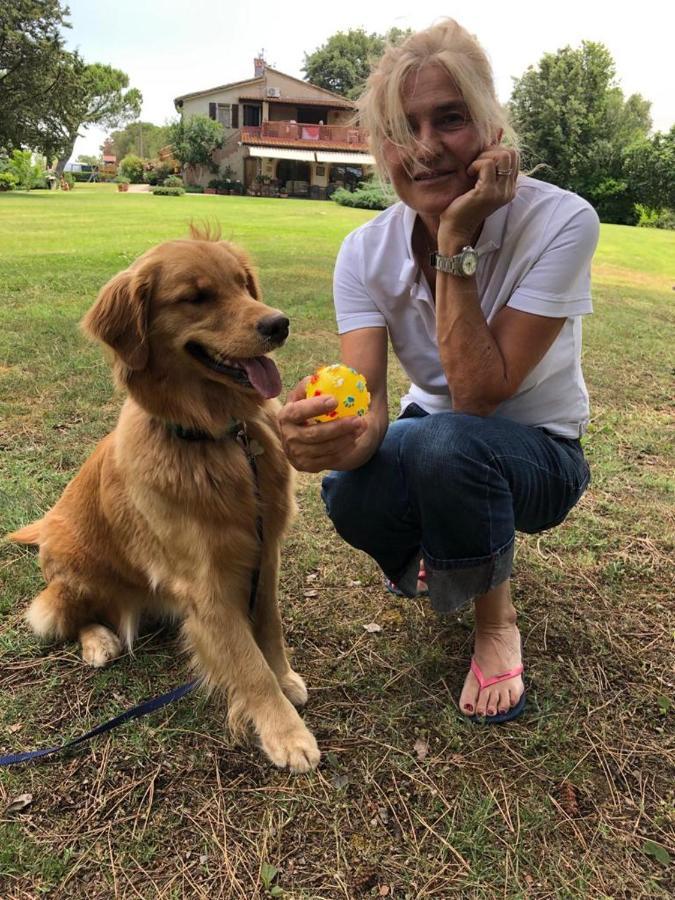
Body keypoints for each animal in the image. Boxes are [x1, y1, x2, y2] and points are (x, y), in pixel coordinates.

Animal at [9, 230, 322, 772]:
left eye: (243, 285)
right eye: (196, 297)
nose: (278, 323)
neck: (216, 436)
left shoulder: (265, 554)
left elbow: (269, 627)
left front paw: (284, 678)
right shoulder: (206, 582)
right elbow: (248, 664)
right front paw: (286, 734)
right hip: (78, 570)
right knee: (60, 613)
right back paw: (99, 641)